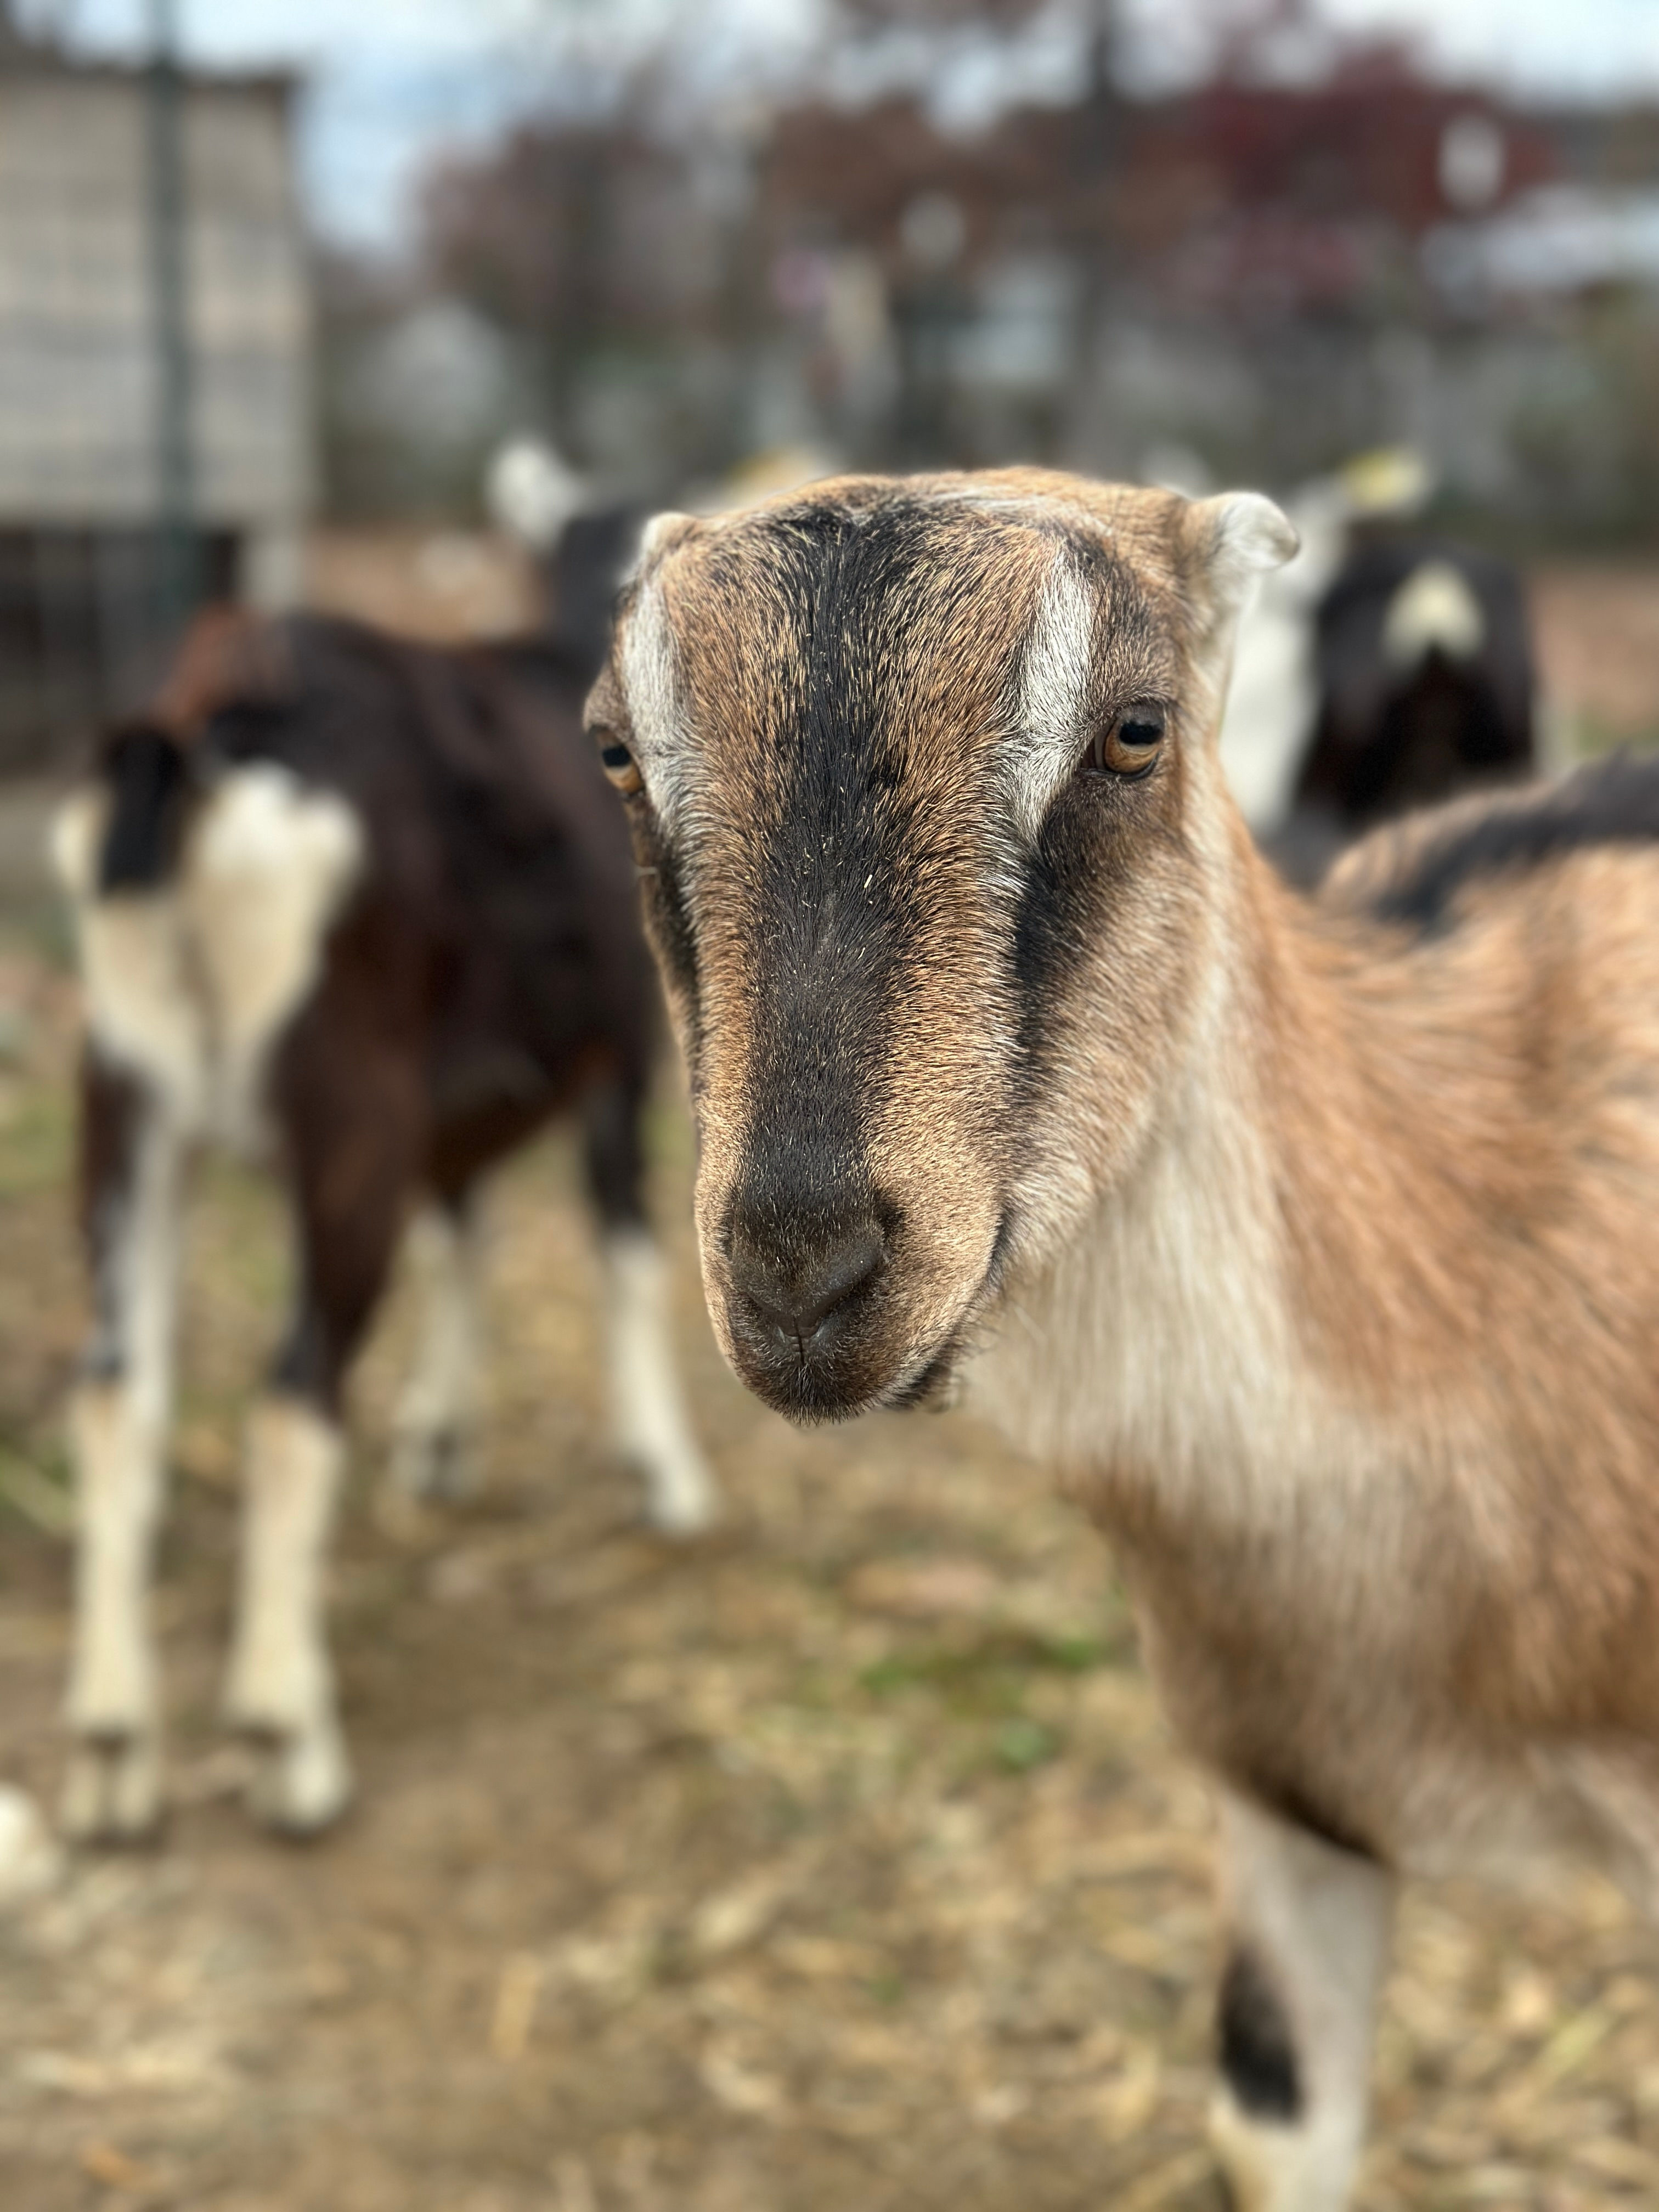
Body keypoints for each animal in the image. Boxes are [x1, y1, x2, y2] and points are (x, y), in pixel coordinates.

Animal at [52, 606, 714, 1843]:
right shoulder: (621, 1051)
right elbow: (627, 1254)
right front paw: (667, 1475)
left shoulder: (454, 1109)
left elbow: (464, 1237)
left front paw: (440, 1440)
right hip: (345, 1113)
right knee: (290, 1398)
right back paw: (288, 1737)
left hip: (125, 1100)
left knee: (117, 1391)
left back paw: (112, 1749)